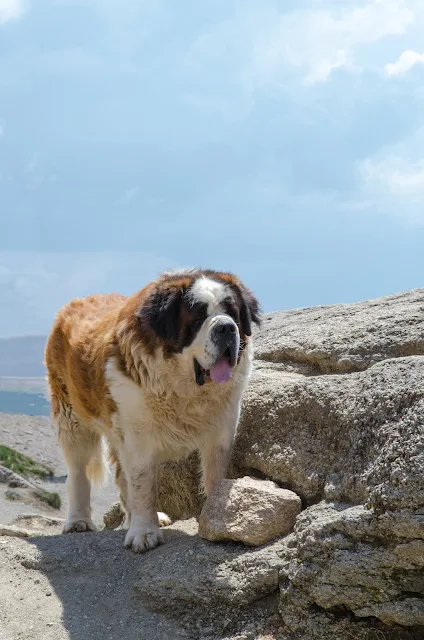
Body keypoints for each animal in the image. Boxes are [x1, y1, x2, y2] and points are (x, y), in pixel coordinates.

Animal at [44, 268, 260, 552]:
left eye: (232, 312)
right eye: (198, 316)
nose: (226, 327)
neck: (184, 389)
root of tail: (74, 303)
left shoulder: (222, 428)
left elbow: (216, 474)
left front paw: (215, 519)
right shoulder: (138, 435)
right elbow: (143, 484)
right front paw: (144, 532)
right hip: (72, 418)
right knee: (79, 471)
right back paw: (79, 521)